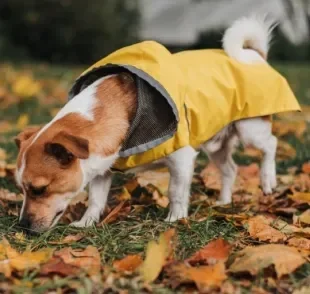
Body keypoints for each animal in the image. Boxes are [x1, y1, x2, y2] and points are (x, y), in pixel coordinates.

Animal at [14, 15, 300, 232]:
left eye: (39, 190)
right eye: (22, 190)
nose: (23, 226)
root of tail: (255, 55)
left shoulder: (182, 160)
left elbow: (176, 192)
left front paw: (175, 219)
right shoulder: (101, 170)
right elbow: (95, 199)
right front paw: (87, 222)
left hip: (250, 129)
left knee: (271, 145)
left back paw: (267, 179)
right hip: (216, 145)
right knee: (230, 169)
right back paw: (223, 202)